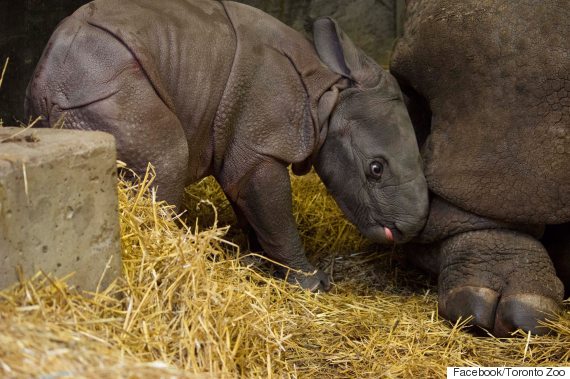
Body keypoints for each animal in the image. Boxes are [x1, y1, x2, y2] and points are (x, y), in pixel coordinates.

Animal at [26, 0, 426, 292]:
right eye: (375, 169)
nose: (409, 228)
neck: (326, 99)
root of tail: (50, 79)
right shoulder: (260, 147)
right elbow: (275, 213)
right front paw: (312, 283)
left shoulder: (241, 143)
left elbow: (251, 206)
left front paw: (259, 260)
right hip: (106, 89)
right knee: (167, 162)